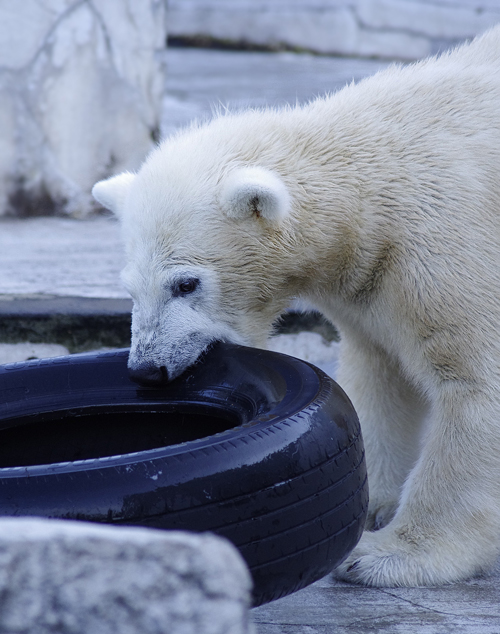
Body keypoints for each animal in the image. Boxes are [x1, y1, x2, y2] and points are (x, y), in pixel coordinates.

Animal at [93, 27, 500, 584]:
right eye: (131, 288)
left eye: (185, 284)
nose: (146, 370)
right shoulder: (373, 281)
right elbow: (378, 377)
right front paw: (368, 501)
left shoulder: (446, 241)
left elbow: (475, 382)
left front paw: (384, 555)